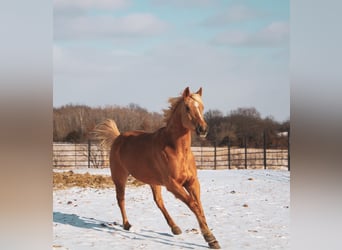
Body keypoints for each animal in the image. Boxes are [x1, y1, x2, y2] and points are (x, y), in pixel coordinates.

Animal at [93, 87, 220, 248]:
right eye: (187, 107)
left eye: (202, 107)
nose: (203, 129)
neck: (177, 149)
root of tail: (118, 138)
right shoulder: (173, 184)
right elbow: (193, 204)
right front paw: (210, 238)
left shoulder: (192, 182)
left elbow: (199, 206)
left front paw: (212, 239)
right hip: (120, 178)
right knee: (121, 199)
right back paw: (127, 225)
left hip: (153, 182)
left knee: (158, 201)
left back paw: (175, 228)